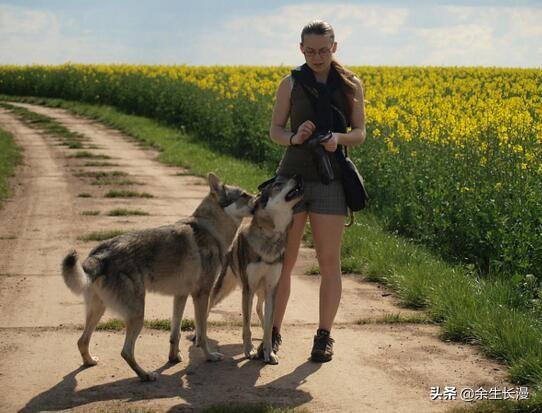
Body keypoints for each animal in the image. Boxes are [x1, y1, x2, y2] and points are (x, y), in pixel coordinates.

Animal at [60, 171, 256, 380]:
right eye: (244, 194)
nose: (261, 197)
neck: (210, 229)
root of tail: (98, 255)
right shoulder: (201, 295)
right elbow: (201, 334)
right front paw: (210, 356)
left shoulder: (181, 295)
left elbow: (175, 334)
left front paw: (174, 358)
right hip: (137, 315)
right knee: (125, 351)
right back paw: (146, 376)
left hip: (99, 310)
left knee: (82, 341)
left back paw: (90, 362)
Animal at [209, 174, 304, 364]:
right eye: (278, 184)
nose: (298, 176)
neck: (271, 236)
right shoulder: (248, 289)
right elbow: (246, 325)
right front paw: (249, 350)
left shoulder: (272, 289)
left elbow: (269, 326)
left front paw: (269, 352)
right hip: (224, 289)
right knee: (207, 306)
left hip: (262, 292)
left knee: (260, 310)